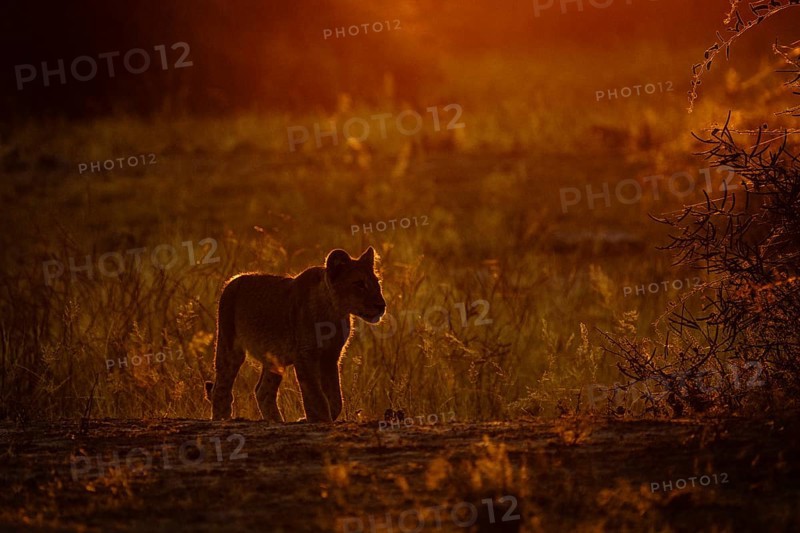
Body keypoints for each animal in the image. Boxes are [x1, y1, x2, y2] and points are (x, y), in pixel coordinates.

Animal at [204, 247, 386, 422]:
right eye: (359, 284)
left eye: (377, 283)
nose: (381, 306)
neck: (333, 313)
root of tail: (233, 280)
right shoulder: (305, 355)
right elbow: (315, 394)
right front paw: (318, 419)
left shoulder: (331, 356)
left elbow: (335, 398)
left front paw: (314, 417)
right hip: (229, 347)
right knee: (221, 387)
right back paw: (222, 418)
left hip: (275, 359)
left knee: (263, 391)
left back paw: (276, 421)